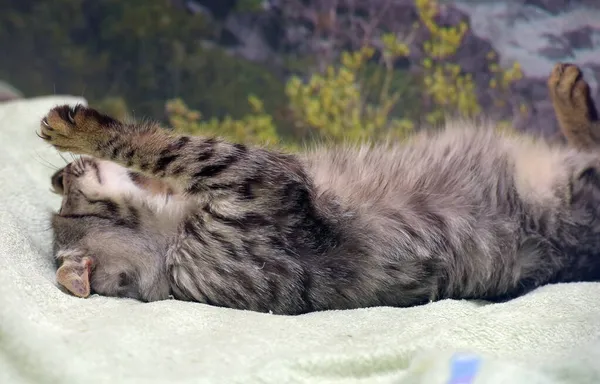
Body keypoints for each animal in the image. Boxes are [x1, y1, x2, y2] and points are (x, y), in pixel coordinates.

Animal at [39, 63, 600, 316]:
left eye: (63, 195)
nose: (58, 176)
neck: (172, 251)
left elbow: (158, 158)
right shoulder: (259, 177)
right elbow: (161, 145)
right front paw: (82, 130)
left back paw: (568, 89)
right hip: (576, 190)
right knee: (593, 149)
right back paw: (571, 92)